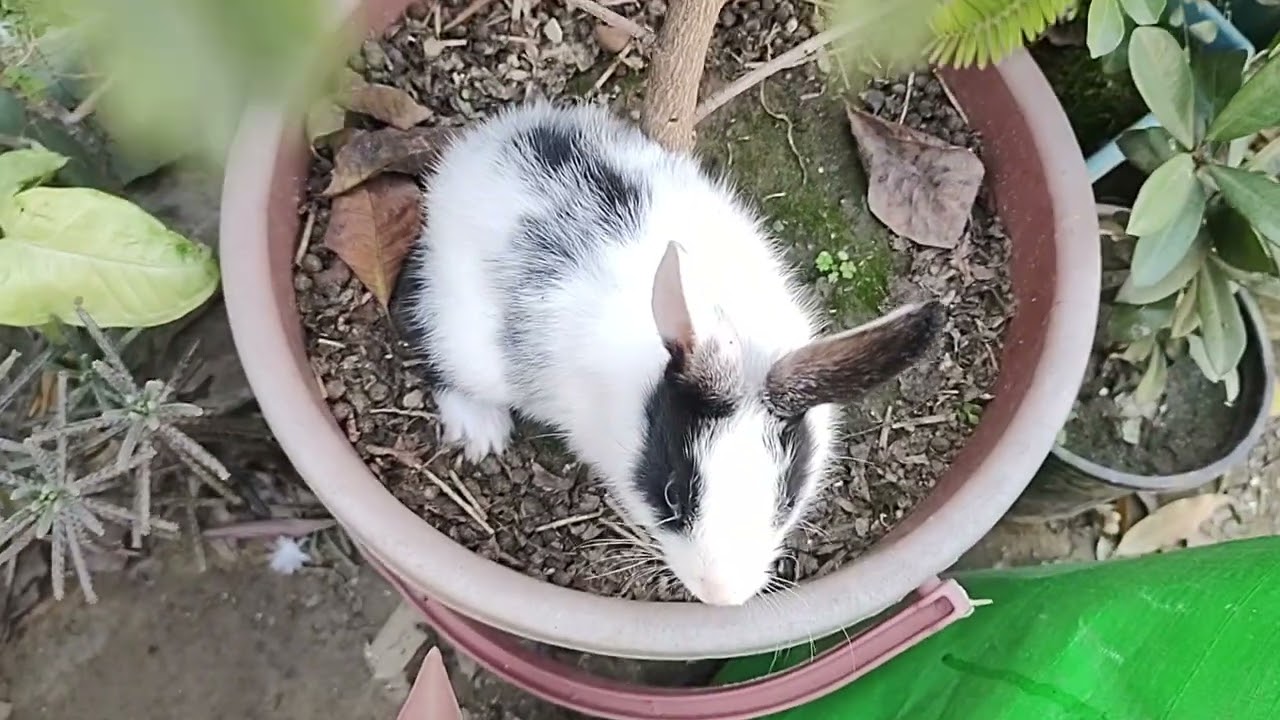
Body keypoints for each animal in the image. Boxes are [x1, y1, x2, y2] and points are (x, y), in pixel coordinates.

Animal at [397, 101, 941, 606]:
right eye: (672, 495)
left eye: (782, 504)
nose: (721, 596)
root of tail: (472, 156)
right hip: (462, 336)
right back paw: (480, 432)